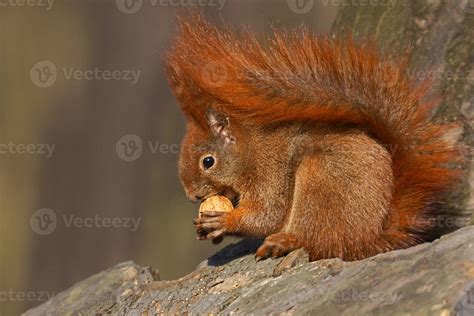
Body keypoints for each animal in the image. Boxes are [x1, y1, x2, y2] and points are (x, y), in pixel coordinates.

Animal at [166, 14, 462, 262]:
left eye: (208, 161)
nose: (192, 196)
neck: (250, 150)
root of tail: (370, 239)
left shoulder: (269, 172)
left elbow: (267, 214)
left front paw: (223, 222)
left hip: (319, 178)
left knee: (317, 241)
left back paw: (284, 242)